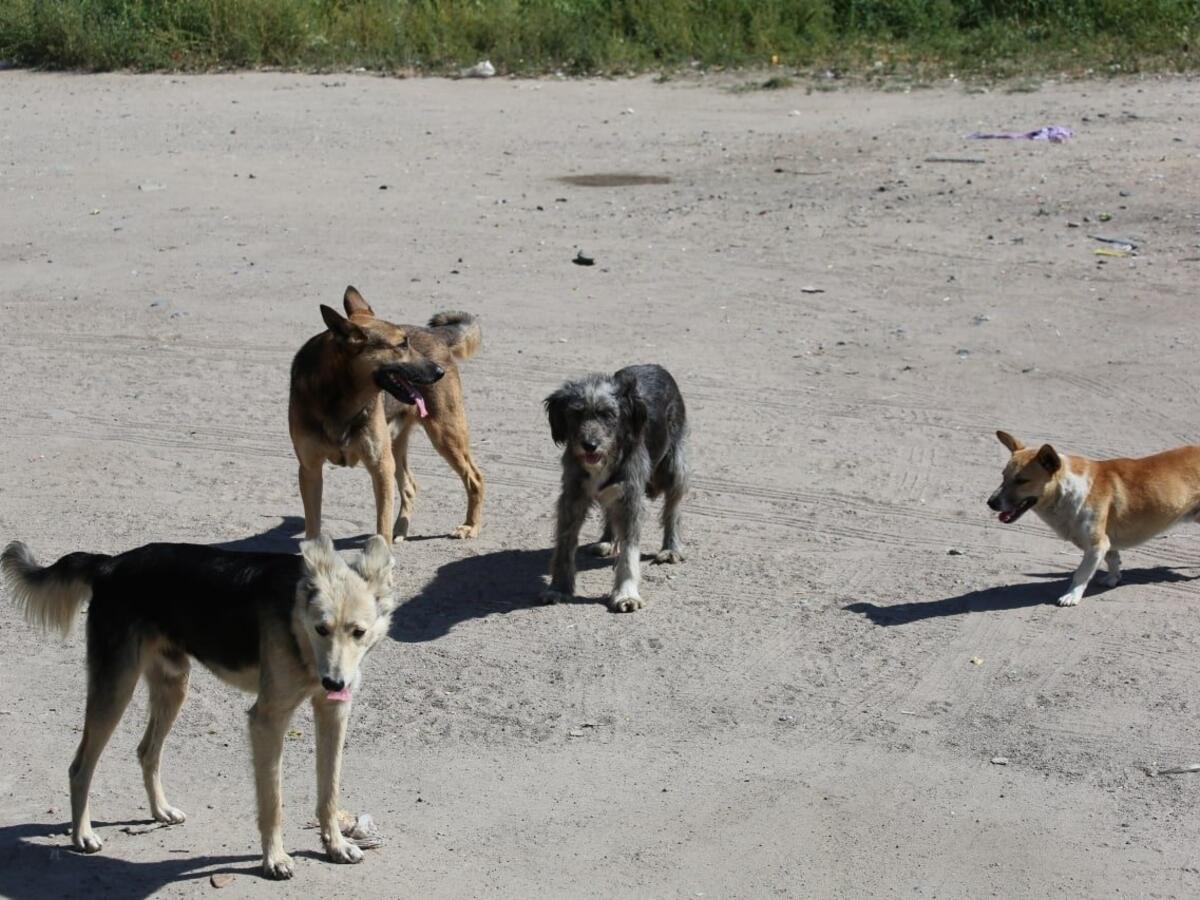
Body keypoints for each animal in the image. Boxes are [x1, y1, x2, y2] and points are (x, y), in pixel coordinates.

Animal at [0, 535, 393, 883]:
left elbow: (329, 790)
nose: (334, 683)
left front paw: (336, 845)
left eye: (358, 632)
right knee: (80, 767)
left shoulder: (333, 713)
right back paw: (82, 835)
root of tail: (111, 565)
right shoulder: (267, 720)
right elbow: (273, 803)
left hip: (173, 687)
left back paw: (160, 810)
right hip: (114, 690)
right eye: (321, 628)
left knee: (147, 751)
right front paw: (274, 858)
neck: (296, 619)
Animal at [288, 286, 484, 542]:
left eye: (407, 343)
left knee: (475, 478)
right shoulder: (310, 471)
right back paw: (401, 529)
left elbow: (382, 523)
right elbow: (312, 528)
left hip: (445, 436)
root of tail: (436, 335)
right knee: (410, 485)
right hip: (396, 445)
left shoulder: (380, 467)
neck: (340, 399)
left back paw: (471, 525)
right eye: (401, 345)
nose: (439, 372)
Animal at [542, 364, 691, 614]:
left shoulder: (631, 498)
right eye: (576, 413)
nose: (589, 445)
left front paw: (626, 594)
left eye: (608, 414)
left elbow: (629, 551)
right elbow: (565, 543)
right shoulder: (572, 497)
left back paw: (671, 548)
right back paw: (607, 540)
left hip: (673, 468)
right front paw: (559, 587)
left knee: (673, 509)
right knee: (610, 510)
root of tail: (654, 366)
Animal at [988, 429, 1200, 607]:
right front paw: (1114, 578)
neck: (1068, 489)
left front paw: (1072, 595)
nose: (991, 503)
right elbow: (1113, 559)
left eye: (1022, 481)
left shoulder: (1097, 544)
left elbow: (1081, 574)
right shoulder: (1106, 542)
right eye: (1003, 476)